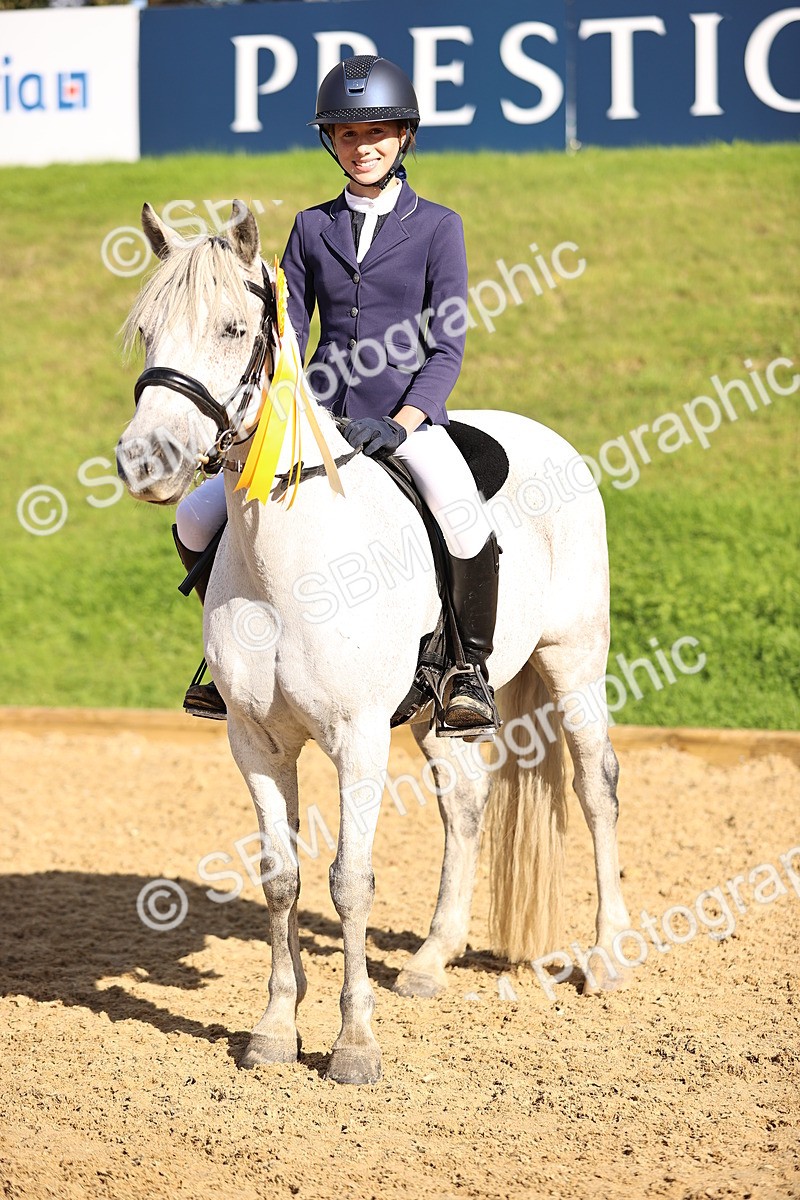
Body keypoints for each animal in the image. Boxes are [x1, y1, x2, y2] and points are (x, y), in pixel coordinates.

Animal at [116, 200, 632, 1086]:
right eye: (148, 329)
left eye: (231, 328)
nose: (147, 461)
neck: (288, 558)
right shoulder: (255, 741)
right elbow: (282, 878)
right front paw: (274, 1031)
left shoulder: (357, 739)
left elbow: (349, 882)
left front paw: (354, 1045)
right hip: (436, 708)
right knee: (465, 800)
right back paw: (430, 961)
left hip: (574, 661)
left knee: (596, 786)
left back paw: (605, 960)